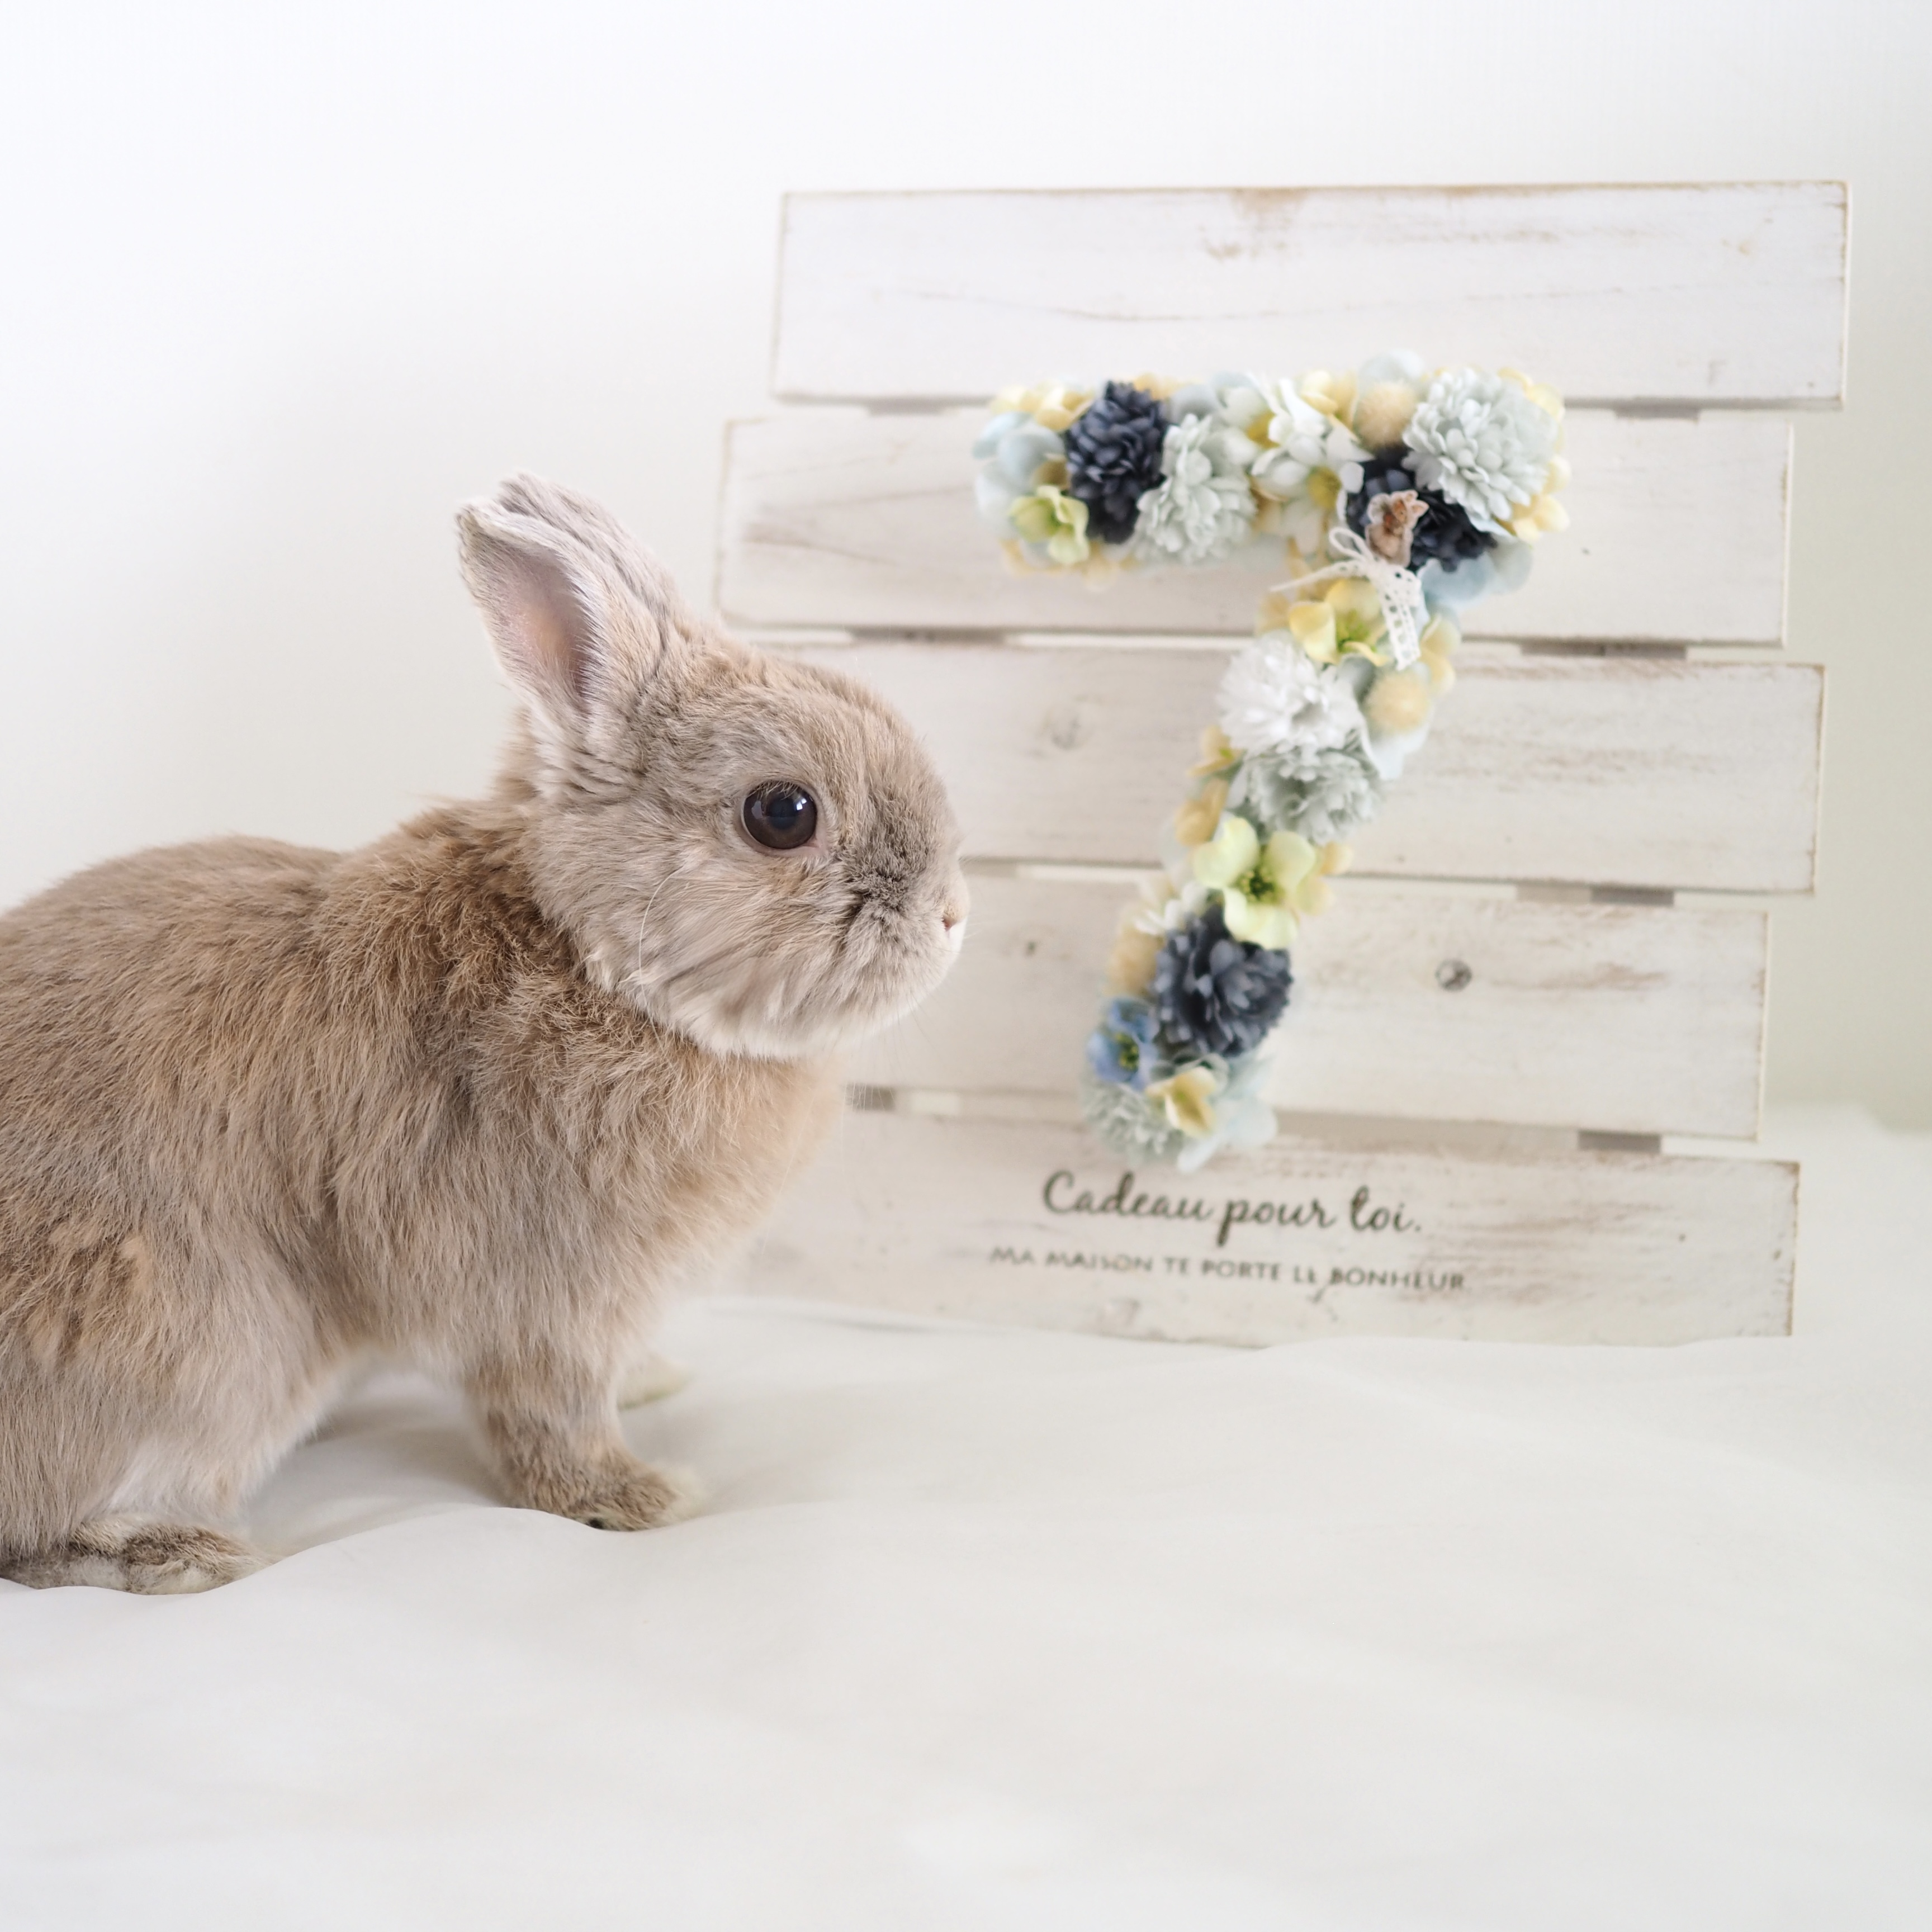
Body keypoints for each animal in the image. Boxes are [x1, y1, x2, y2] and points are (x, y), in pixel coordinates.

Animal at [0, 475, 967, 1592]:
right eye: (783, 812)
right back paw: (180, 1551)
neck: (597, 961)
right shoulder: (544, 1294)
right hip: (208, 1343)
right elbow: (551, 1418)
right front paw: (640, 1499)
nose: (953, 916)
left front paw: (656, 1384)